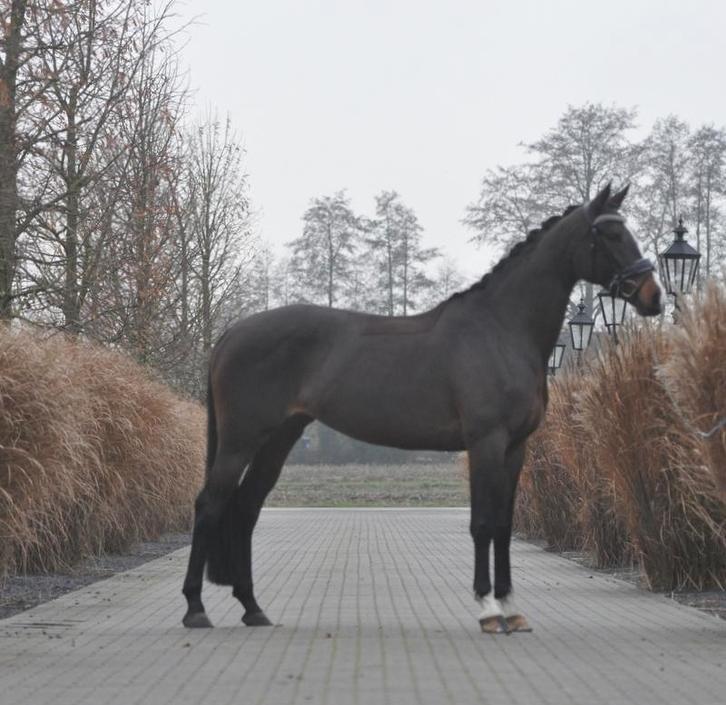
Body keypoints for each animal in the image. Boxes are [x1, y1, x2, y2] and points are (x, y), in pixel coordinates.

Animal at [181, 183, 662, 633]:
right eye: (610, 233)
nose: (653, 296)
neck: (501, 329)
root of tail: (229, 335)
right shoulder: (486, 443)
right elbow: (482, 524)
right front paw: (489, 611)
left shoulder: (516, 449)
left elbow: (504, 525)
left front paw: (511, 609)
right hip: (240, 441)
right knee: (209, 505)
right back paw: (195, 609)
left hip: (279, 438)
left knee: (246, 508)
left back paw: (253, 608)